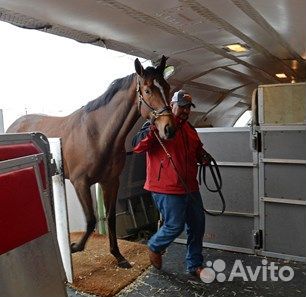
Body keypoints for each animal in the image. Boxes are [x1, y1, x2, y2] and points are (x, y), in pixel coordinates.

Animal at [6, 55, 175, 266]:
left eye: (167, 87)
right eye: (147, 90)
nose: (169, 128)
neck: (97, 135)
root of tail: (13, 126)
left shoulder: (110, 182)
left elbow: (110, 217)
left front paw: (118, 256)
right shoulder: (81, 183)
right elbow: (91, 219)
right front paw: (75, 247)